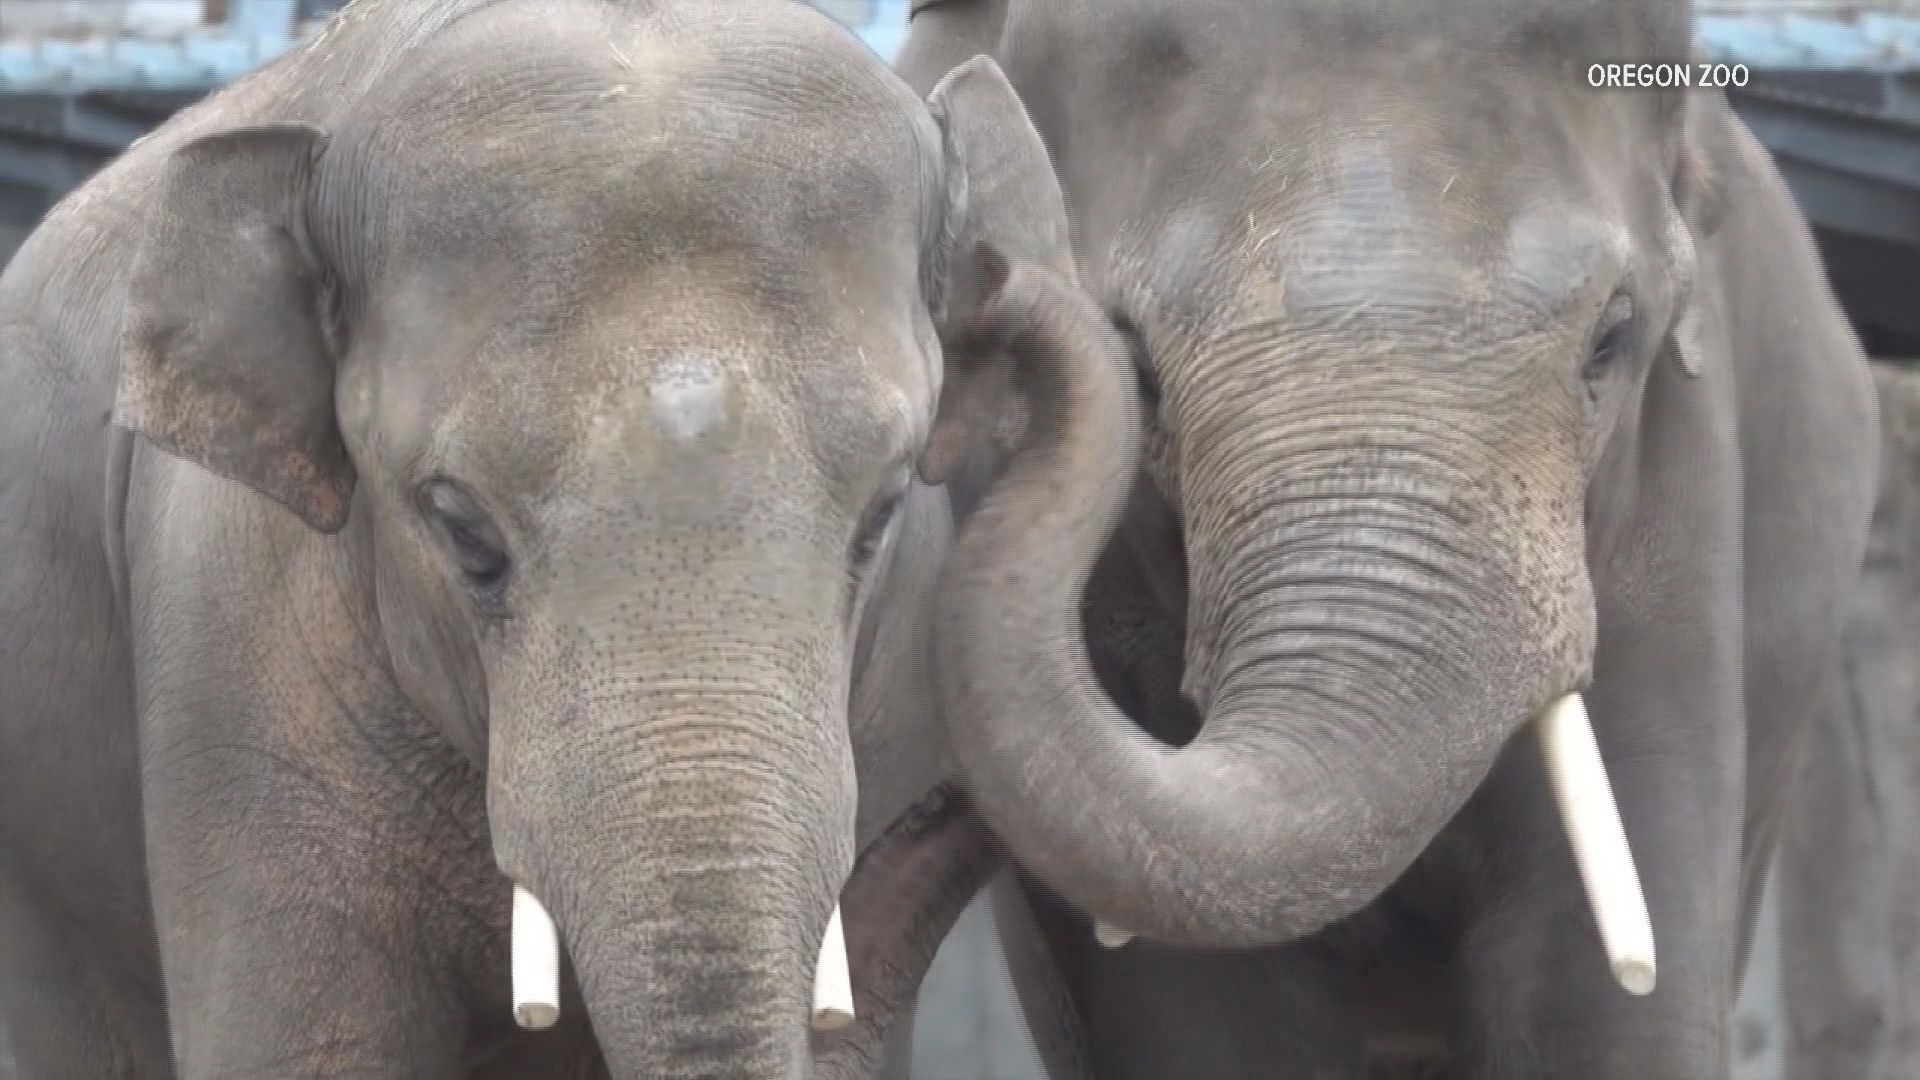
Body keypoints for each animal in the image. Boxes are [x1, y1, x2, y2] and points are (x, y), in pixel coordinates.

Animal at [890, 2, 1881, 1076]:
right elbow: (1196, 1012)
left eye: (1613, 341)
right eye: (1138, 366)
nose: (993, 278)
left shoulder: (1678, 502)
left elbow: (1596, 997)